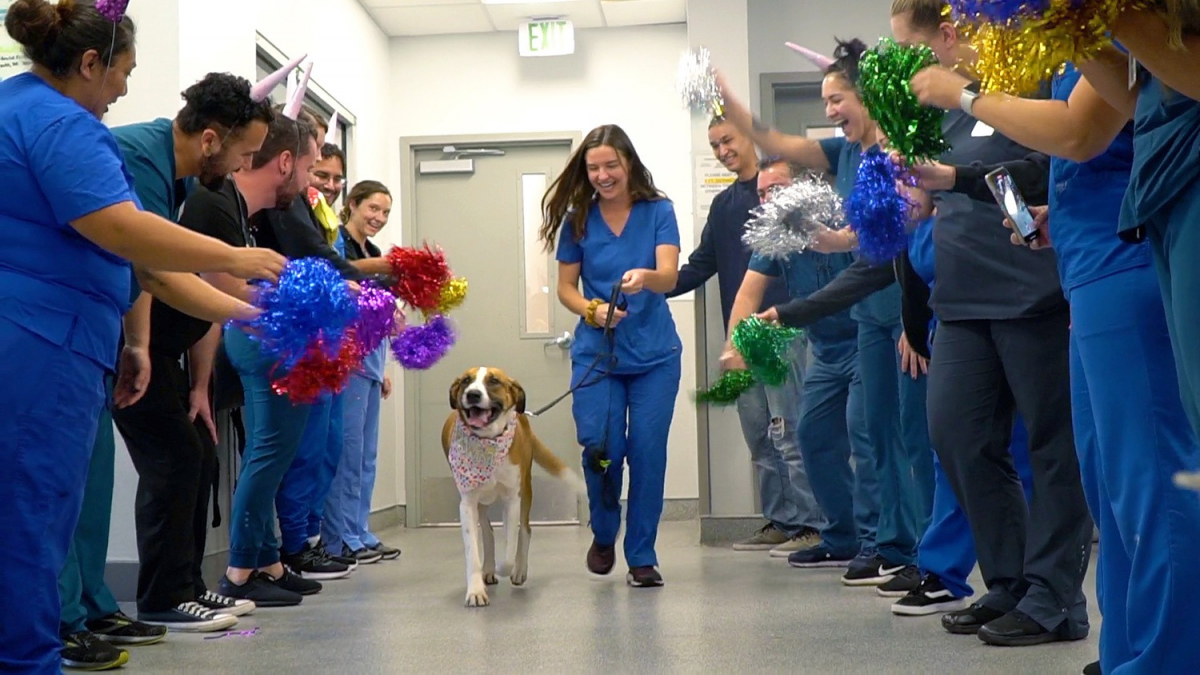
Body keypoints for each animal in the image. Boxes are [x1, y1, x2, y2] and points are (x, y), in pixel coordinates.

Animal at [446, 365, 585, 607]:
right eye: (465, 381)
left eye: (493, 381)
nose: (473, 394)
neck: (488, 442)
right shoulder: (467, 504)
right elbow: (473, 552)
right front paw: (476, 590)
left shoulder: (512, 498)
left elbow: (510, 547)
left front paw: (506, 568)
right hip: (482, 503)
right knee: (488, 532)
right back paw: (488, 569)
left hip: (525, 490)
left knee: (525, 530)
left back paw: (519, 570)